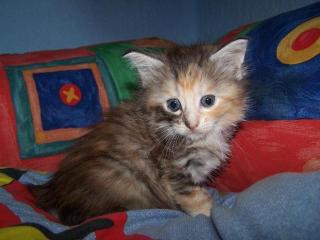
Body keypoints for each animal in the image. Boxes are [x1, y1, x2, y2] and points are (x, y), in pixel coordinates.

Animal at [30, 39, 249, 225]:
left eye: (208, 100)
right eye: (173, 105)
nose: (191, 124)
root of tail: (52, 194)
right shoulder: (174, 171)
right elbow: (197, 199)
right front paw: (209, 215)